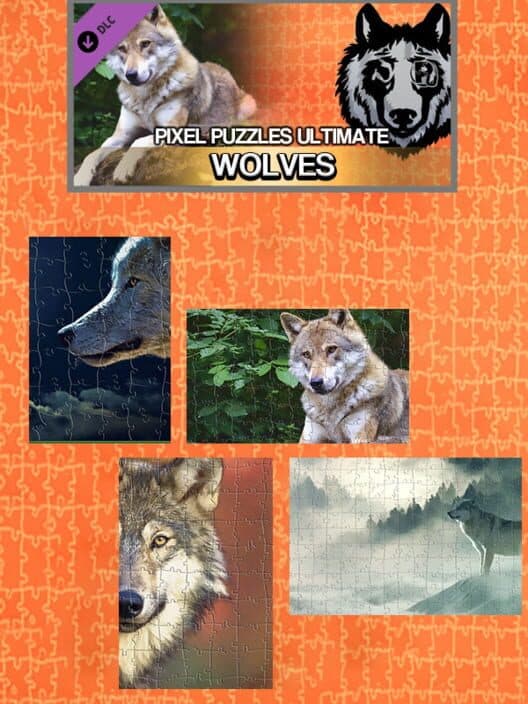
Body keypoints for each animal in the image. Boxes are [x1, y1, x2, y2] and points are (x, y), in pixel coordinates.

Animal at [74, 5, 256, 186]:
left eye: (145, 44)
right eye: (122, 48)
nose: (130, 75)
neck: (145, 99)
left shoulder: (172, 130)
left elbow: (139, 141)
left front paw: (122, 168)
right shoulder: (121, 135)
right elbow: (91, 154)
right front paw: (80, 177)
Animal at [280, 309, 409, 443]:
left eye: (331, 349)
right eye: (306, 354)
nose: (315, 382)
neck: (330, 412)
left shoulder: (360, 438)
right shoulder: (308, 438)